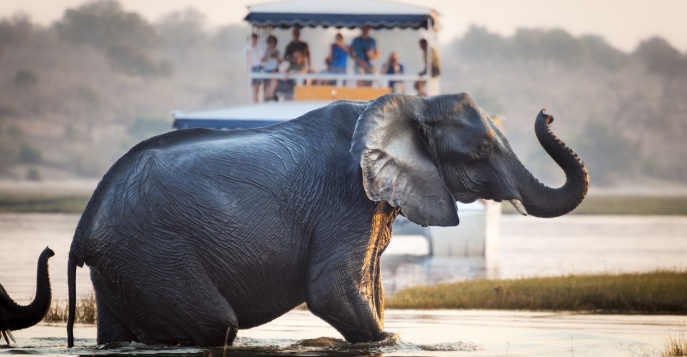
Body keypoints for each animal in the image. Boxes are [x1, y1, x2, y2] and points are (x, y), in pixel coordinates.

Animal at [67, 92, 588, 344]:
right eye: (480, 149)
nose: (548, 113)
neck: (407, 105)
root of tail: (83, 230)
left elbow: (369, 290)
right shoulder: (345, 198)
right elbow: (331, 290)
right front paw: (388, 339)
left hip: (125, 265)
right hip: (154, 252)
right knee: (217, 325)